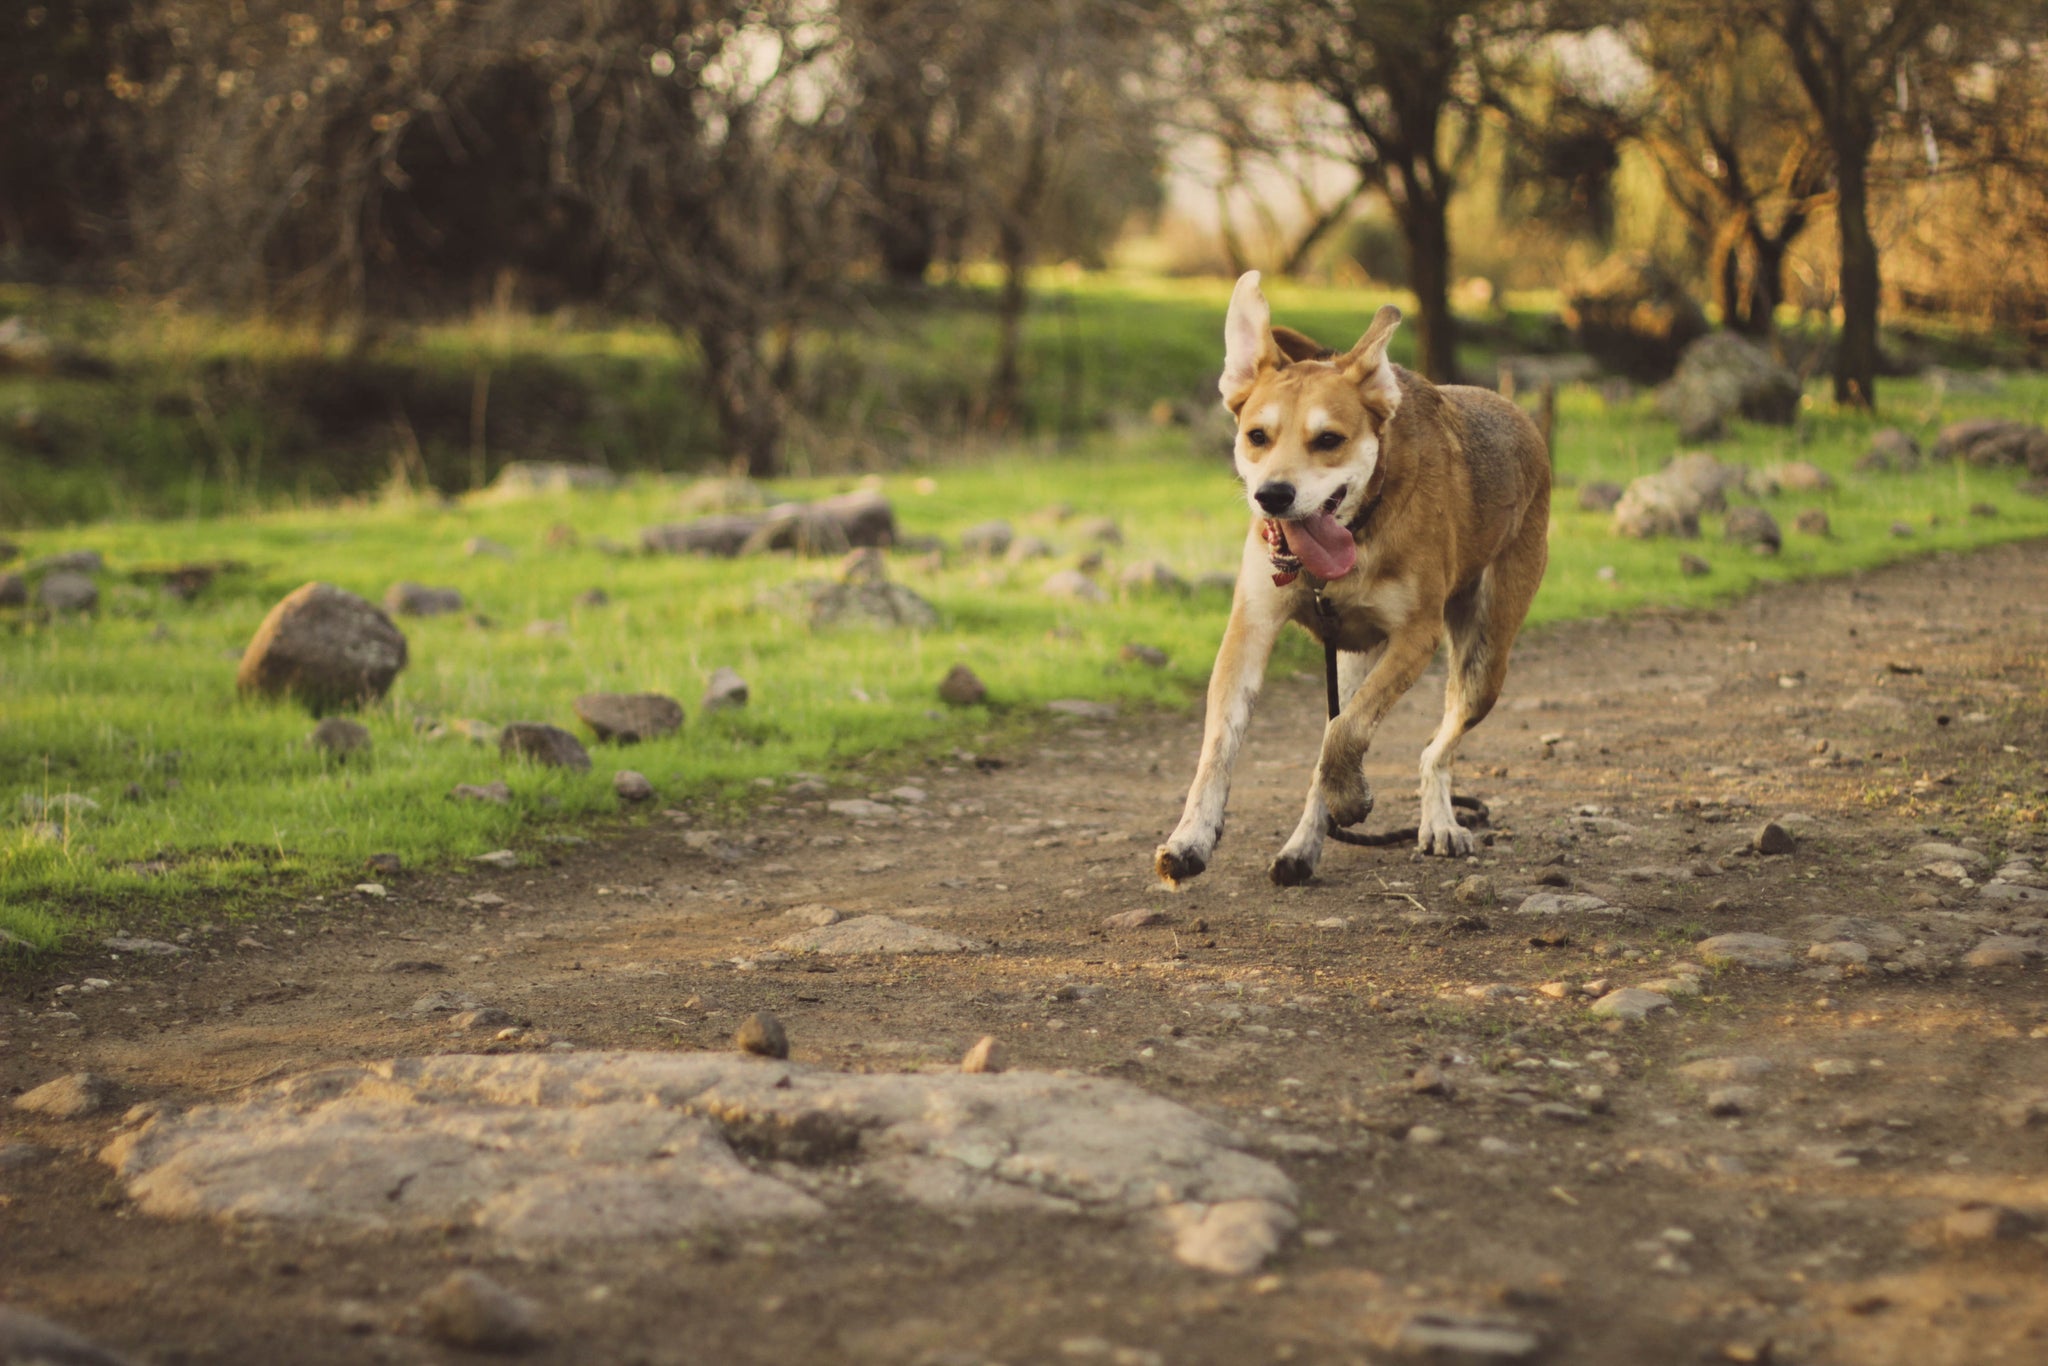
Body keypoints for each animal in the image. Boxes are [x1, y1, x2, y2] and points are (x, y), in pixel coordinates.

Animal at [1155, 274, 1548, 892]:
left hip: (1484, 658)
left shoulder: (1415, 636)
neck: (1357, 532)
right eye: (1258, 435)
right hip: (1353, 656)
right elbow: (1220, 744)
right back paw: (1302, 849)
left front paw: (1348, 795)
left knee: (1431, 749)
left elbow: (1348, 731)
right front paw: (1191, 838)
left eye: (1329, 440)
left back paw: (1435, 821)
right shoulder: (1251, 626)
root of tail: (1518, 414)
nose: (1273, 495)